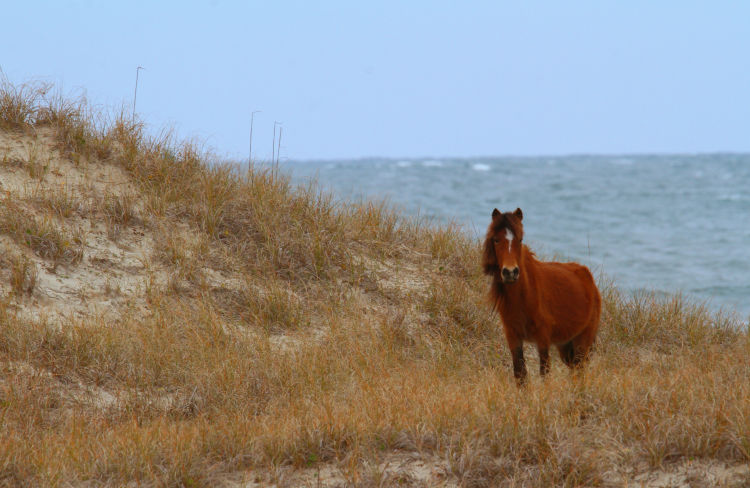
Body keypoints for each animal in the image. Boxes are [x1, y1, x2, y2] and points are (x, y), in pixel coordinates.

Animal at [484, 208, 604, 384]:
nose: (510, 272)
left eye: (520, 239)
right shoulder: (513, 337)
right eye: (496, 240)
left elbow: (544, 375)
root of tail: (589, 279)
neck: (525, 296)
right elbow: (520, 375)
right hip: (565, 345)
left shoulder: (543, 339)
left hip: (583, 341)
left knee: (579, 370)